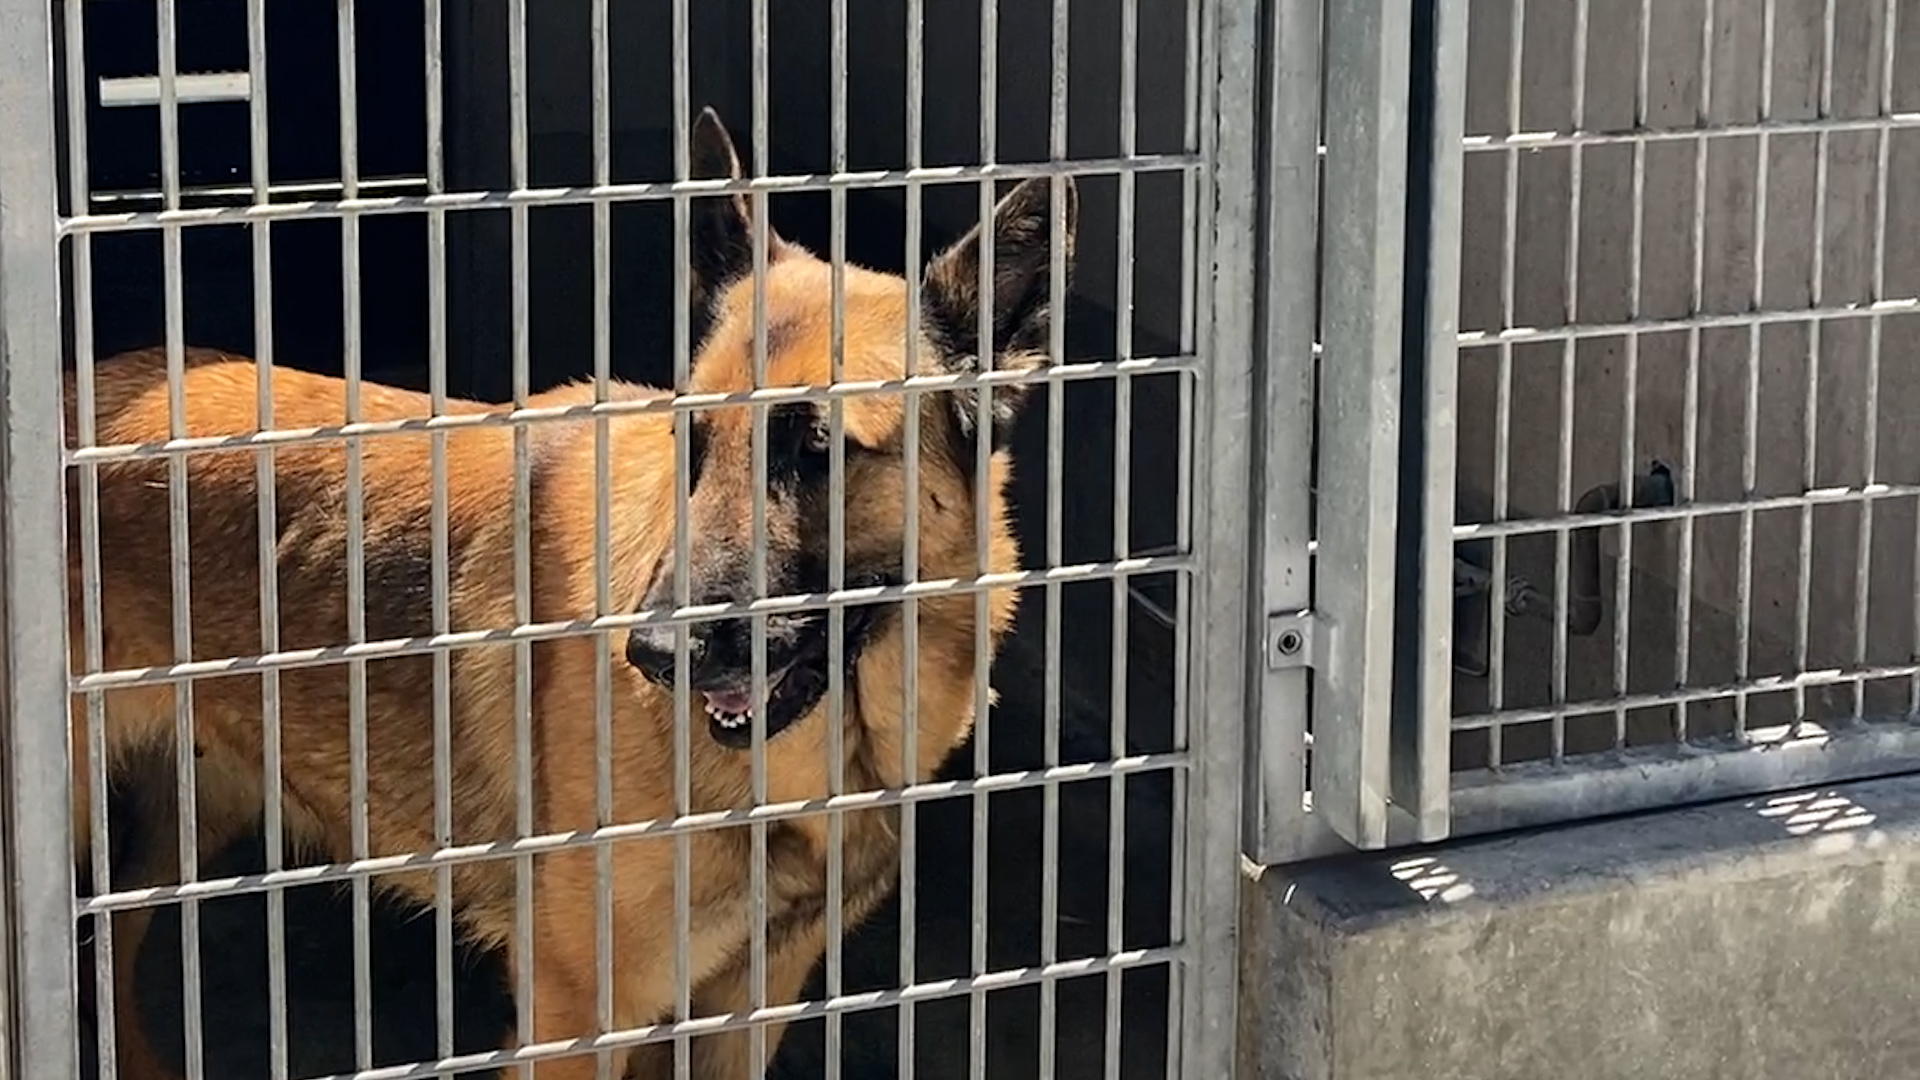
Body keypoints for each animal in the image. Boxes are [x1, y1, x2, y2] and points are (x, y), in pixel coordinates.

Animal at [71, 111, 1082, 1076]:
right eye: (690, 443)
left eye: (817, 449)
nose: (653, 654)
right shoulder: (575, 1022)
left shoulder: (743, 1015)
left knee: (112, 952)